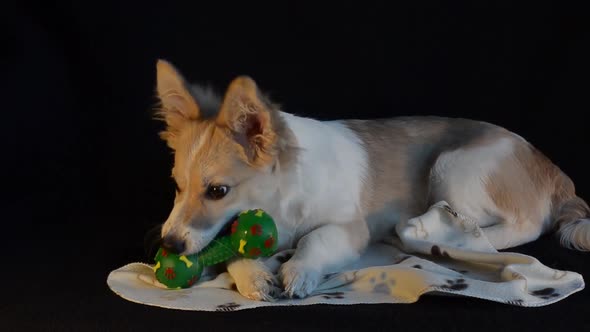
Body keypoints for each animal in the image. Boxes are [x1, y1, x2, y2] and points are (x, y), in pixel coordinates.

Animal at [154, 59, 590, 300]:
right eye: (176, 186)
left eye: (218, 191)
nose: (169, 245)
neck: (282, 200)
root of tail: (554, 172)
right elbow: (234, 251)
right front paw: (256, 276)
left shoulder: (349, 227)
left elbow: (315, 240)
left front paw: (299, 269)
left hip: (454, 167)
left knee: (522, 225)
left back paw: (434, 238)